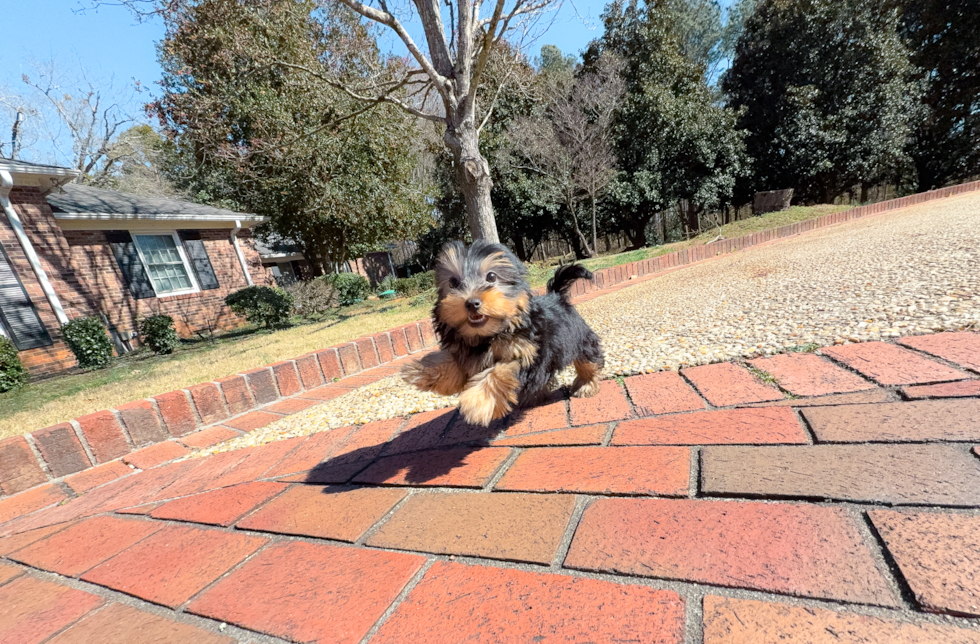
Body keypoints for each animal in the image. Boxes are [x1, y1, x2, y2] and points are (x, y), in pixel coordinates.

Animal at [400, 239, 604, 426]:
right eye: (454, 282)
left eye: (491, 276)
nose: (472, 303)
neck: (488, 335)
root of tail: (557, 296)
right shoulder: (467, 353)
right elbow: (453, 364)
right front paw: (421, 371)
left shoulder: (526, 354)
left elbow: (498, 372)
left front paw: (478, 401)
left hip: (580, 339)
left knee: (588, 360)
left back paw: (586, 385)